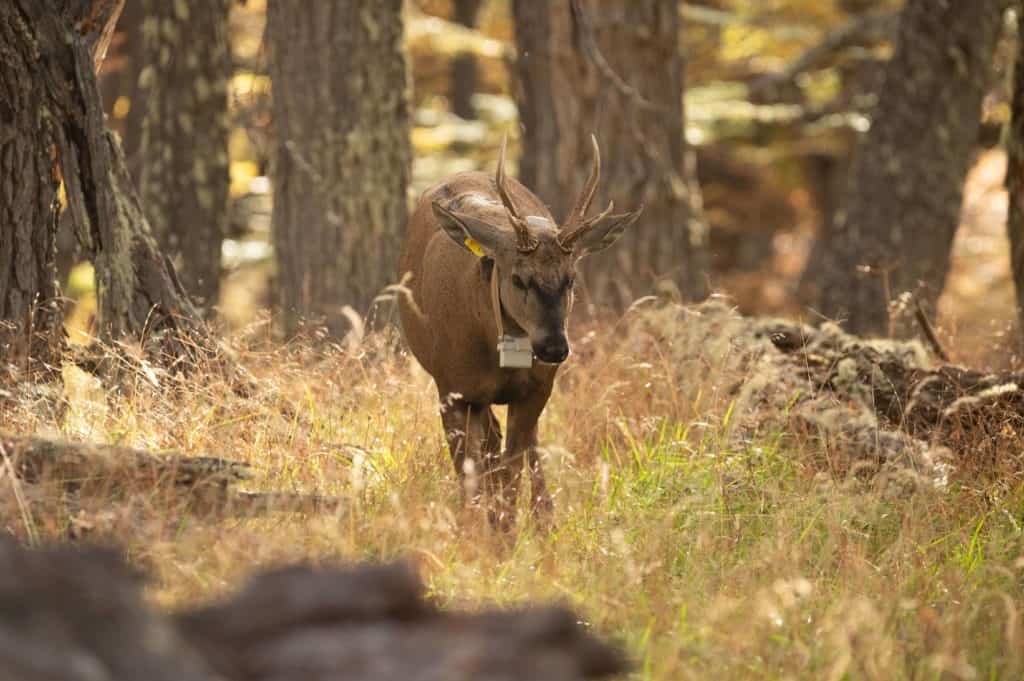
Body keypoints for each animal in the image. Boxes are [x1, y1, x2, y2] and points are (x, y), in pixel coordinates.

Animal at [397, 133, 643, 524]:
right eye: (517, 278)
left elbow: (511, 470)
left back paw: (543, 517)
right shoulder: (452, 388)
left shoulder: (537, 388)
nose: (554, 347)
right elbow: (469, 472)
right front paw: (476, 528)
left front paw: (507, 528)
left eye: (572, 279)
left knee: (522, 447)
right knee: (489, 449)